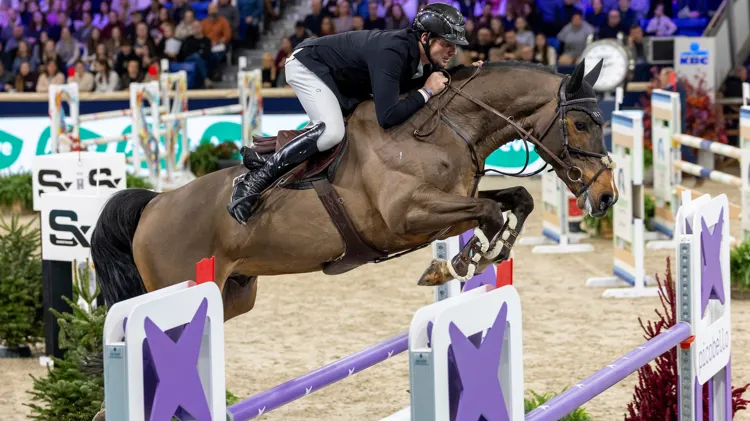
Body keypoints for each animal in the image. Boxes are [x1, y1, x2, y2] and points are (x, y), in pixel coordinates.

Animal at [91, 59, 617, 321]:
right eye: (580, 123)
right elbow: (486, 214)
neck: (444, 129)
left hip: (233, 295)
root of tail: (155, 204)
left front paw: (479, 256)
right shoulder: (407, 217)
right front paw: (462, 263)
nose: (607, 196)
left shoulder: (450, 202)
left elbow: (515, 201)